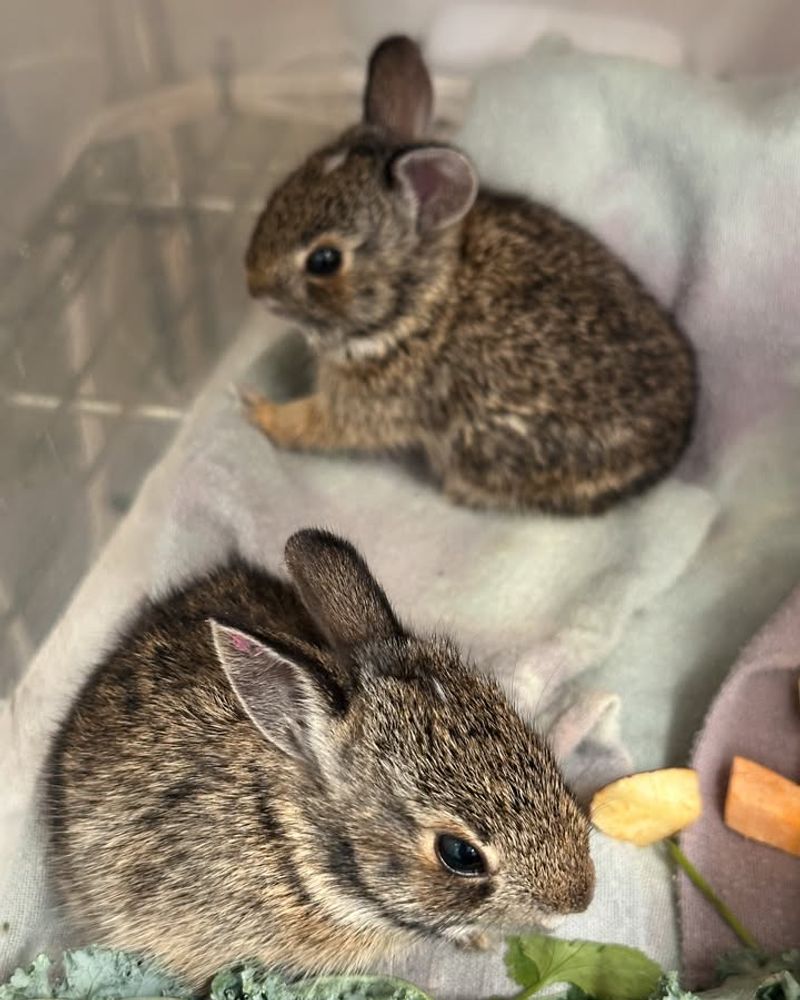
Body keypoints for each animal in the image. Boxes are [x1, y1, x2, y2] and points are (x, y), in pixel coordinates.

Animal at [241, 35, 697, 515]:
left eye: (324, 260)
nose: (253, 284)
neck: (424, 304)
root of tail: (674, 445)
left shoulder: (372, 405)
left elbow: (314, 424)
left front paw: (257, 409)